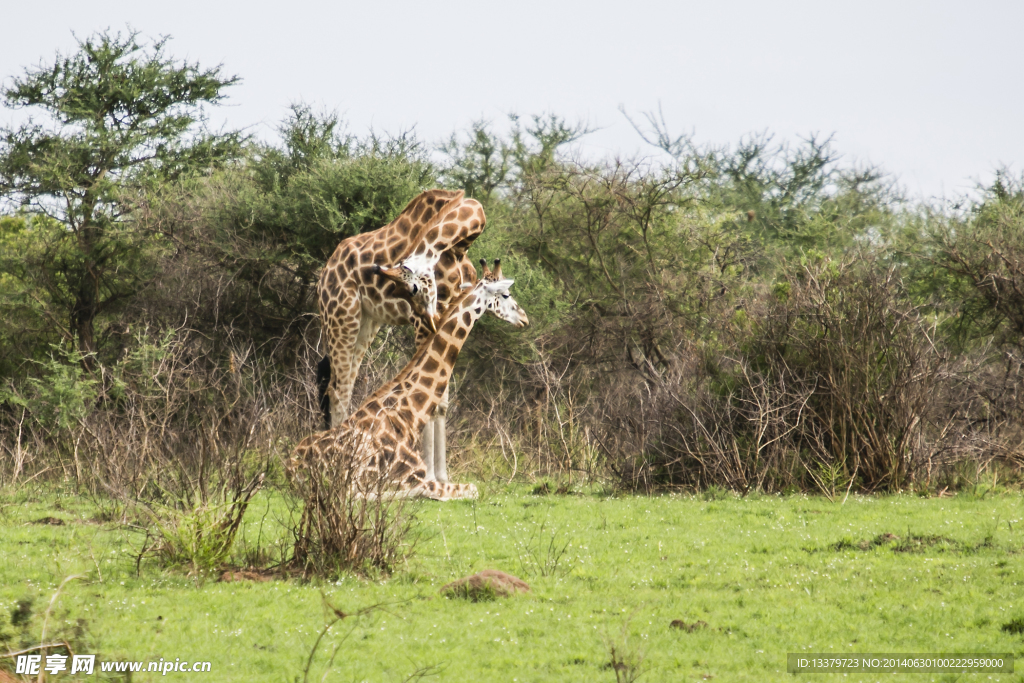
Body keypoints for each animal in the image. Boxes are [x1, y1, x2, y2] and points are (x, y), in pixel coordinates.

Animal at [290, 262, 524, 501]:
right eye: (506, 294)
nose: (524, 318)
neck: (412, 415)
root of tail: (293, 468)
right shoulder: (412, 473)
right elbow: (469, 489)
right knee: (353, 494)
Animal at [313, 189, 485, 481]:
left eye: (414, 288)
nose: (432, 321)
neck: (461, 246)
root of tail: (325, 272)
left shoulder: (452, 307)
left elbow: (442, 401)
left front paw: (443, 477)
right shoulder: (422, 324)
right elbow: (429, 397)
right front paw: (429, 477)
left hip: (367, 323)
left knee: (343, 384)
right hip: (341, 315)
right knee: (338, 390)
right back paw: (341, 463)